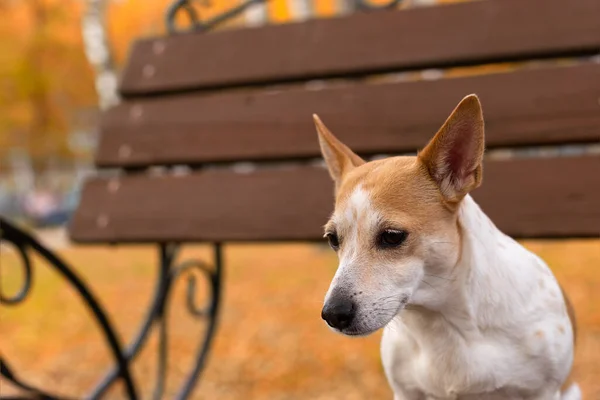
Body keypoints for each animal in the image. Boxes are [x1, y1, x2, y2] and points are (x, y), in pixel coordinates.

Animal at [316, 96, 580, 400]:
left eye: (392, 237)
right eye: (333, 239)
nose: (332, 314)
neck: (443, 323)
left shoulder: (543, 391)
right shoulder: (406, 392)